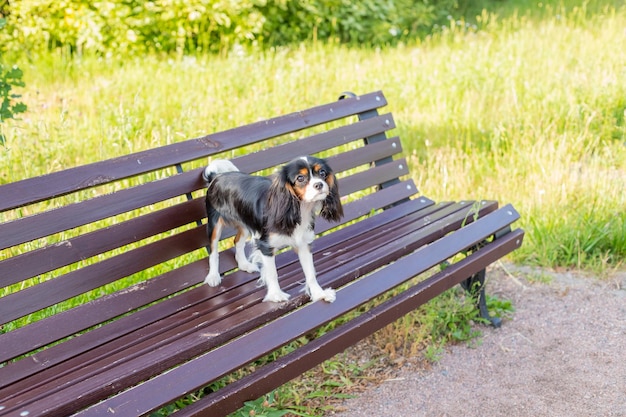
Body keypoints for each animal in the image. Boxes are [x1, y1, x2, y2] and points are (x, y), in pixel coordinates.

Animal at [202, 156, 342, 302]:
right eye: (300, 178)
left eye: (322, 173)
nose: (319, 184)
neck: (300, 208)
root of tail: (216, 176)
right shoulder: (265, 246)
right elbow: (272, 273)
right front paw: (276, 294)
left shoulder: (304, 244)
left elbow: (310, 273)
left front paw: (319, 293)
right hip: (215, 224)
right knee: (213, 250)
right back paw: (213, 276)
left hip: (246, 221)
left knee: (237, 241)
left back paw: (244, 265)